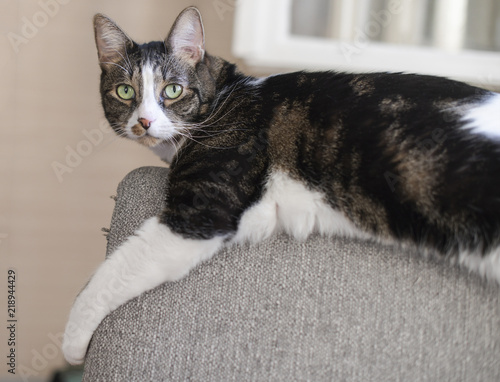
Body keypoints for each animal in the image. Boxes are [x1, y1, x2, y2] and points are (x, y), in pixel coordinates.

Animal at [62, 5, 500, 364]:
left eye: (172, 89)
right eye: (125, 91)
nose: (145, 121)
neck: (225, 94)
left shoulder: (200, 212)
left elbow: (112, 272)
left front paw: (71, 341)